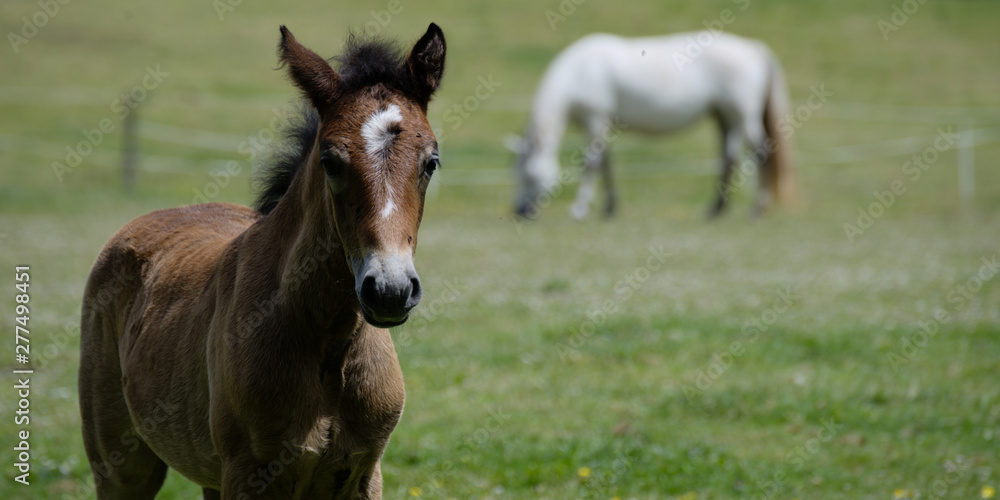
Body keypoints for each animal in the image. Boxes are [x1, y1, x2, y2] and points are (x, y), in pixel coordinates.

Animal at [80, 23, 448, 500]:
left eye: (431, 163)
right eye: (330, 161)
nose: (389, 290)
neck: (328, 345)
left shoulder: (365, 475)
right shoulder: (248, 474)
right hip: (121, 466)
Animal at [508, 31, 796, 219]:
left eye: (530, 176)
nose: (520, 211)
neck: (580, 72)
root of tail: (753, 47)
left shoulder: (595, 119)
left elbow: (592, 163)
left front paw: (579, 209)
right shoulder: (603, 125)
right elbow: (606, 163)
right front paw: (610, 207)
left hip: (743, 114)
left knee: (761, 153)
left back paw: (758, 208)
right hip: (725, 116)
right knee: (729, 157)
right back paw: (716, 209)